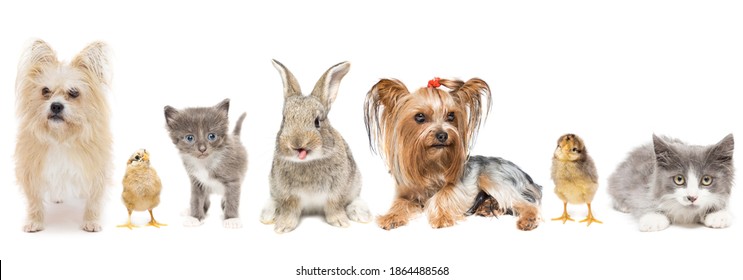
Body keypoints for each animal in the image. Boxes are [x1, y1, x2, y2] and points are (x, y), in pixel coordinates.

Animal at [164, 99, 248, 229]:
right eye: (189, 138)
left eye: (211, 136)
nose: (202, 149)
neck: (205, 163)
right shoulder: (196, 182)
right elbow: (196, 200)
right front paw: (195, 217)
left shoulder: (233, 180)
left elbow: (232, 199)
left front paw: (231, 219)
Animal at [260, 60, 370, 233]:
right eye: (284, 120)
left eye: (317, 121)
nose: (297, 144)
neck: (307, 162)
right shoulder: (289, 195)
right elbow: (290, 209)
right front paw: (283, 226)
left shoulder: (336, 192)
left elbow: (334, 206)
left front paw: (340, 222)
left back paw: (360, 214)